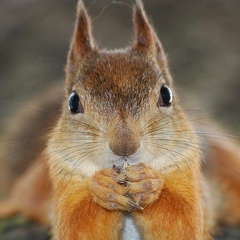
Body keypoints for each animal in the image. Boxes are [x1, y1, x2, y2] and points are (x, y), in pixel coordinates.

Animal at [0, 0, 240, 240]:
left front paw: (147, 183)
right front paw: (103, 186)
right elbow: (76, 223)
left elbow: (184, 219)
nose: (125, 145)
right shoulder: (65, 177)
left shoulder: (188, 173)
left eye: (166, 95)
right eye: (73, 102)